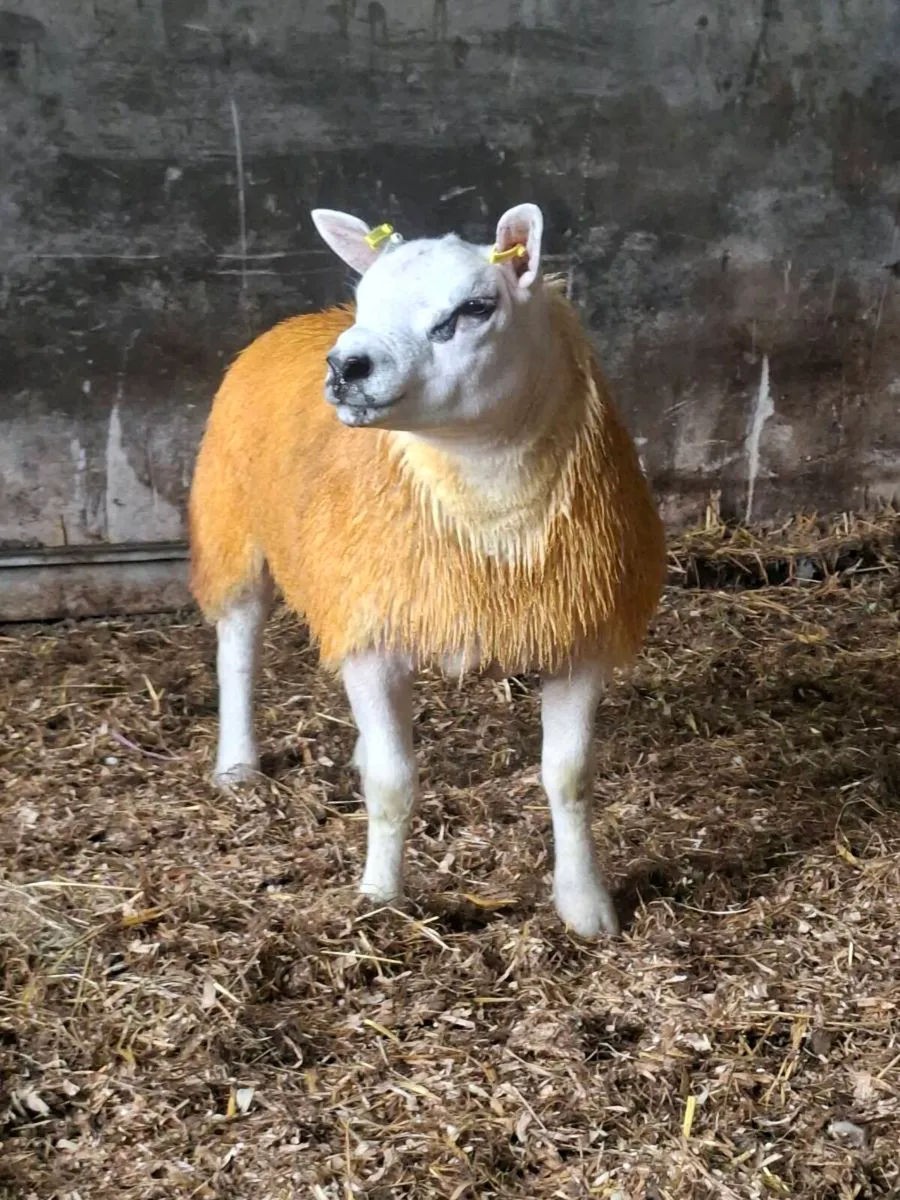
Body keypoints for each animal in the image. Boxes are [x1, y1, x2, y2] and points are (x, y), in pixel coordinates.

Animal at [189, 203, 666, 937]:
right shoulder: (372, 633)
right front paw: (380, 898)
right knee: (238, 645)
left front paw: (586, 907)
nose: (347, 365)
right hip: (234, 523)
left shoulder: (579, 631)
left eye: (474, 308)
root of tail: (300, 321)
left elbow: (570, 777)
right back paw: (237, 765)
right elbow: (393, 783)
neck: (490, 510)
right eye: (365, 299)